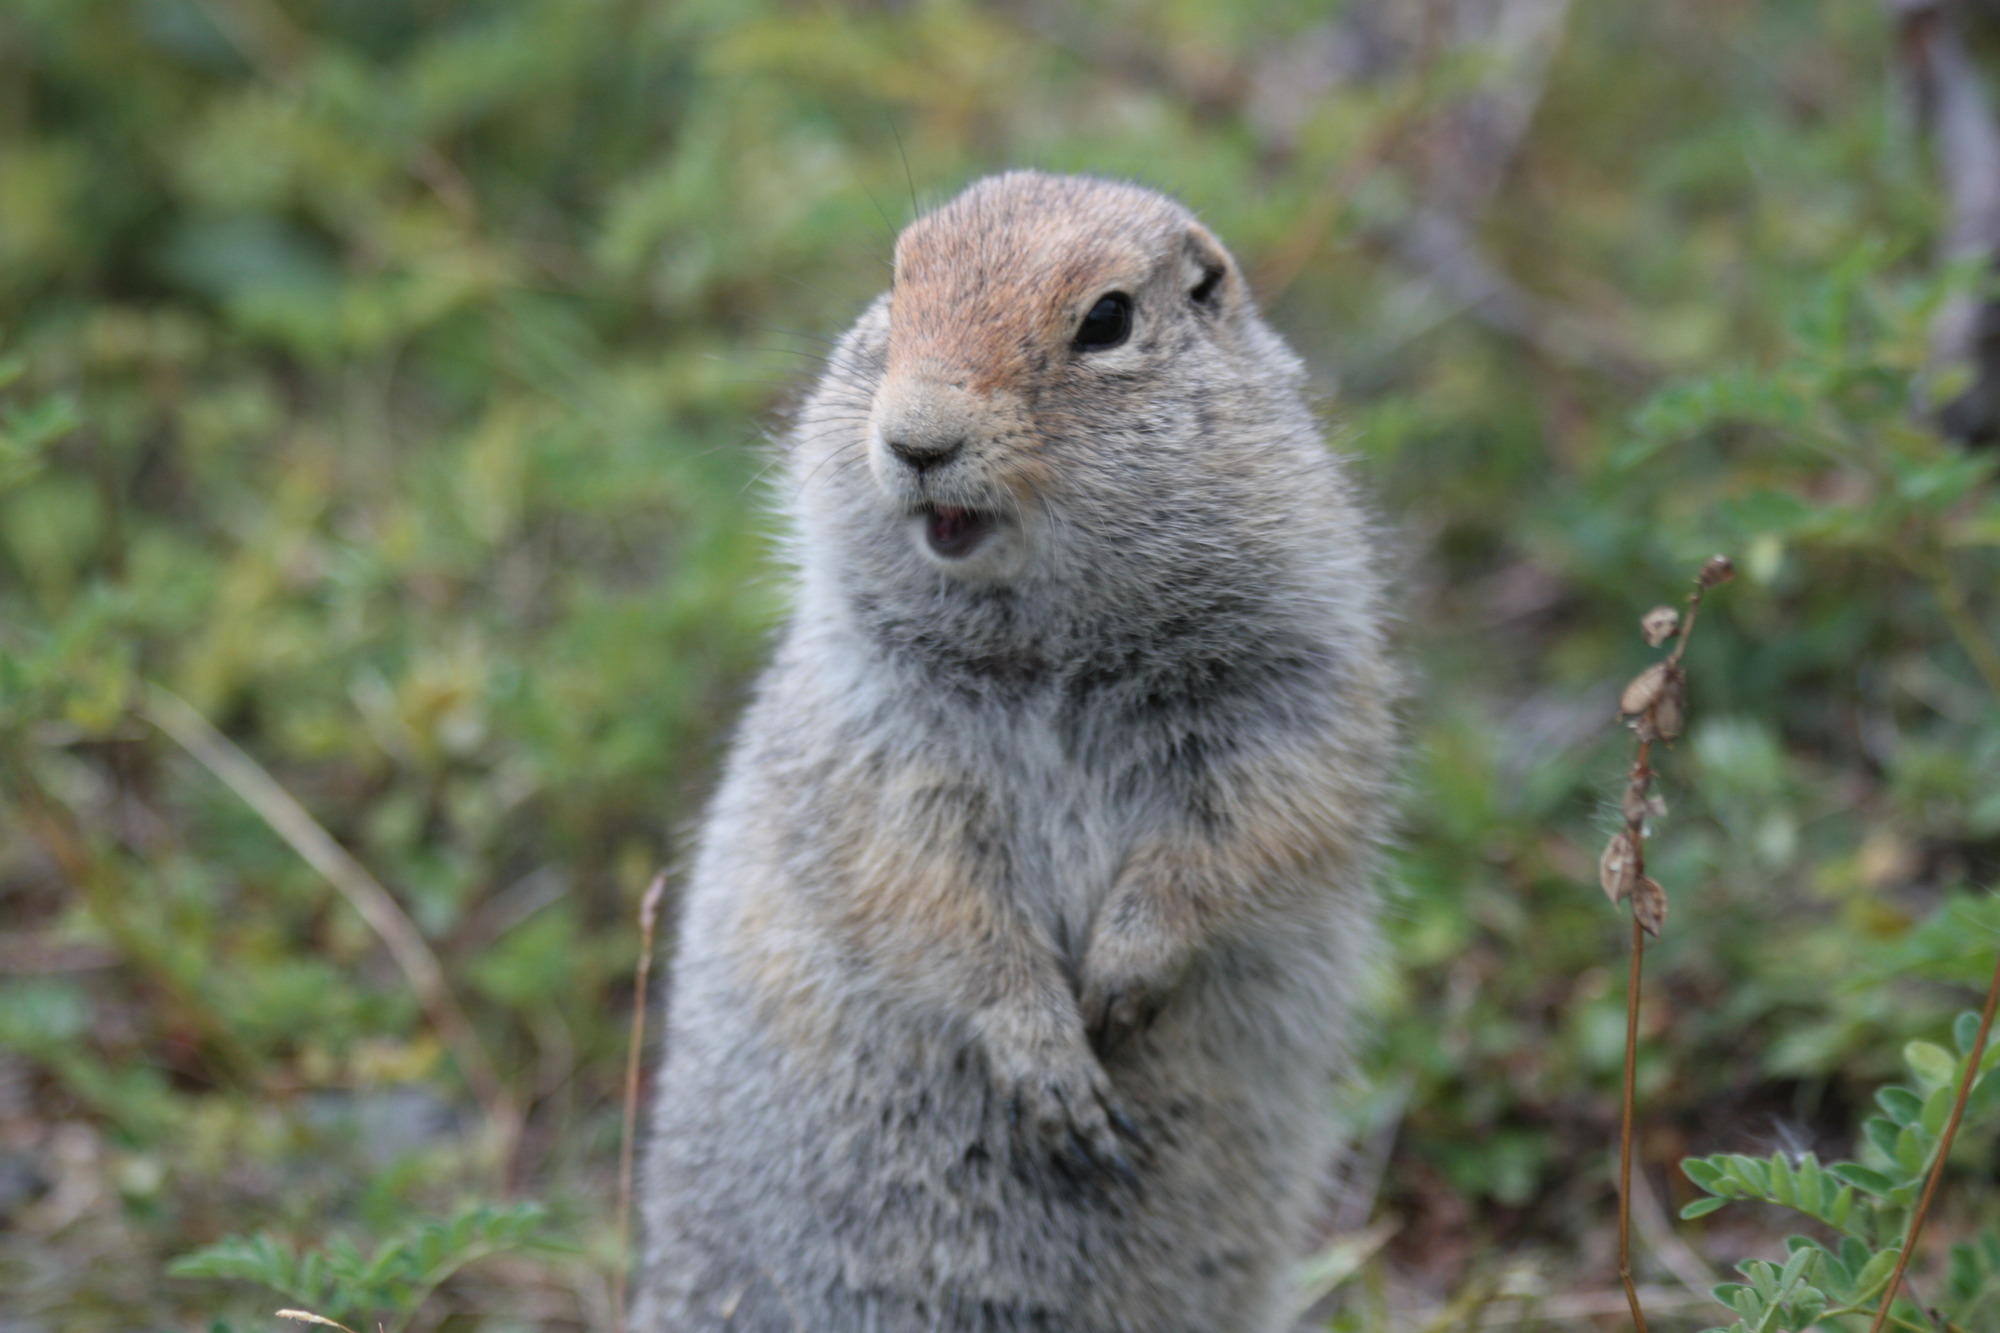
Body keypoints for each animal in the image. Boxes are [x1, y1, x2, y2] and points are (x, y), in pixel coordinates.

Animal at [634, 171, 1398, 1333]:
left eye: (1107, 319)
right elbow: (931, 890)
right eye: (895, 283)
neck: (1052, 652)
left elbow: (1248, 823)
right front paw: (1050, 1062)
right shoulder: (877, 735)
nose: (915, 439)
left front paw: (1123, 976)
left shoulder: (1289, 684)